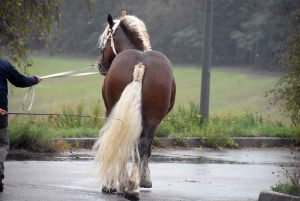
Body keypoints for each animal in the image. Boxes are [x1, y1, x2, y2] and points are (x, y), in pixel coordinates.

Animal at [91, 13, 176, 200]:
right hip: (153, 119)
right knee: (142, 145)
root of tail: (140, 65)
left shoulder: (109, 111)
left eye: (106, 41)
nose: (100, 64)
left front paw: (112, 184)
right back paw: (132, 186)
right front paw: (143, 180)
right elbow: (145, 149)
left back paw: (125, 186)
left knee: (123, 145)